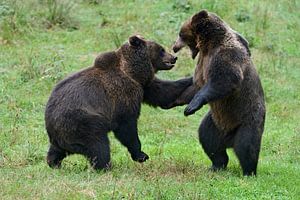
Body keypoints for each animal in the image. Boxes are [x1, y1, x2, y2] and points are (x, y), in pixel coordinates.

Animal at [45, 35, 193, 170]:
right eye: (161, 49)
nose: (173, 57)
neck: (133, 72)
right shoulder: (123, 95)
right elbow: (127, 127)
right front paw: (141, 155)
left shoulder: (144, 86)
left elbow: (164, 93)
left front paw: (190, 79)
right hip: (81, 122)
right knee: (98, 145)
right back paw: (106, 166)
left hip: (63, 135)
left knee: (56, 151)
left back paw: (54, 162)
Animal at [170, 9, 266, 175]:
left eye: (181, 34)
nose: (174, 47)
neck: (208, 45)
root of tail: (229, 139)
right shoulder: (203, 63)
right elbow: (197, 84)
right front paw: (177, 99)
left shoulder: (226, 55)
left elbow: (225, 79)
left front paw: (191, 107)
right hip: (216, 122)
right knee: (208, 138)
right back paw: (216, 165)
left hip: (248, 118)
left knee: (247, 145)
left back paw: (249, 171)